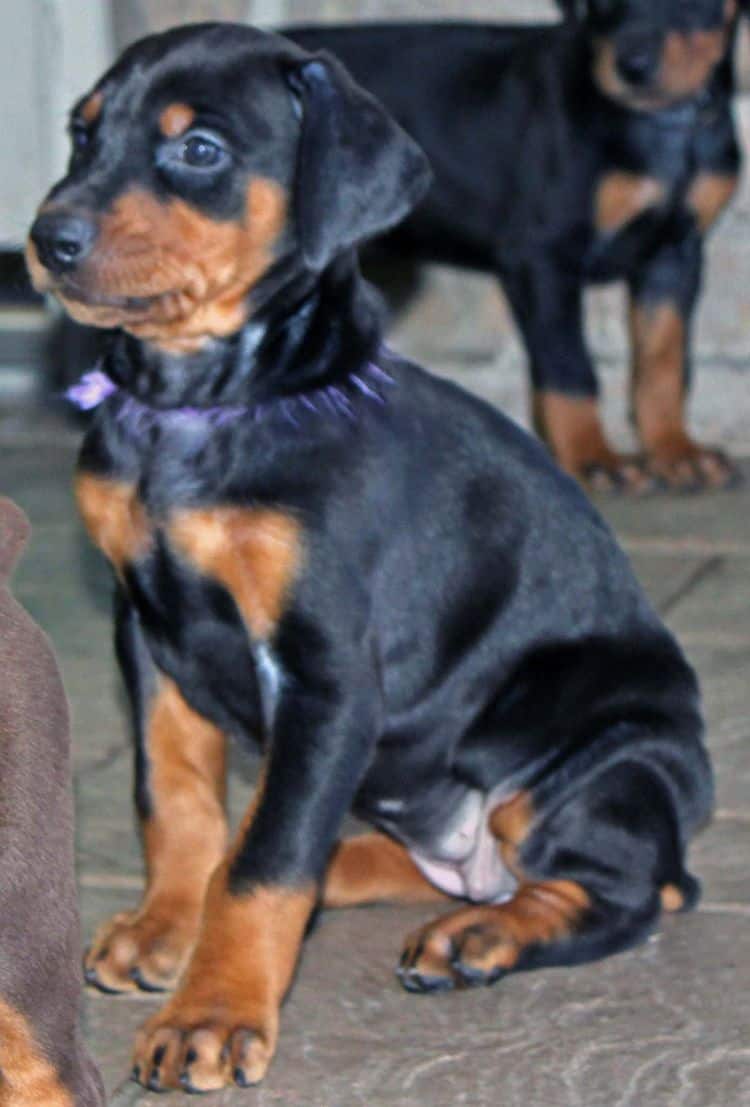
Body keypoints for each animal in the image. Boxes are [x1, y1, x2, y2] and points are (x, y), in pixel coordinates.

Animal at [26, 21, 712, 1093]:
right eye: (81, 136)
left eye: (200, 149)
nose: (47, 239)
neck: (203, 409)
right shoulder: (147, 627)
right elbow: (177, 799)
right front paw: (167, 925)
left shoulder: (327, 672)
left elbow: (267, 859)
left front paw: (214, 1014)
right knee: (385, 849)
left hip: (604, 750)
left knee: (625, 891)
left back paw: (480, 936)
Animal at [287, 0, 747, 493]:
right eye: (602, 4)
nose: (633, 67)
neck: (662, 127)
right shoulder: (542, 258)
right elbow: (569, 367)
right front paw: (592, 457)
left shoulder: (674, 255)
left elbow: (663, 360)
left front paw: (673, 449)